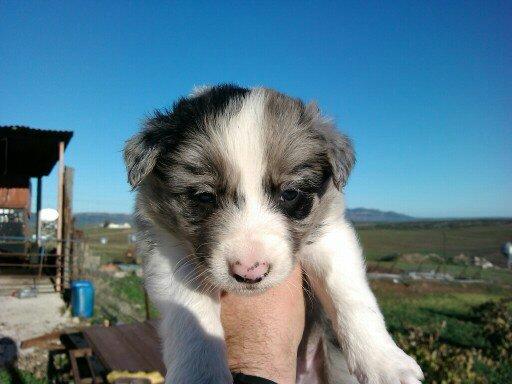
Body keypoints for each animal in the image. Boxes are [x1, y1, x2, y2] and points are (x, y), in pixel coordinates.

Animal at [124, 85, 424, 384]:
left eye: (290, 194)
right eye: (204, 196)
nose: (250, 272)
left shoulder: (330, 233)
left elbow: (348, 292)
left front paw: (384, 362)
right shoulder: (166, 247)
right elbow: (190, 310)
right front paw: (201, 374)